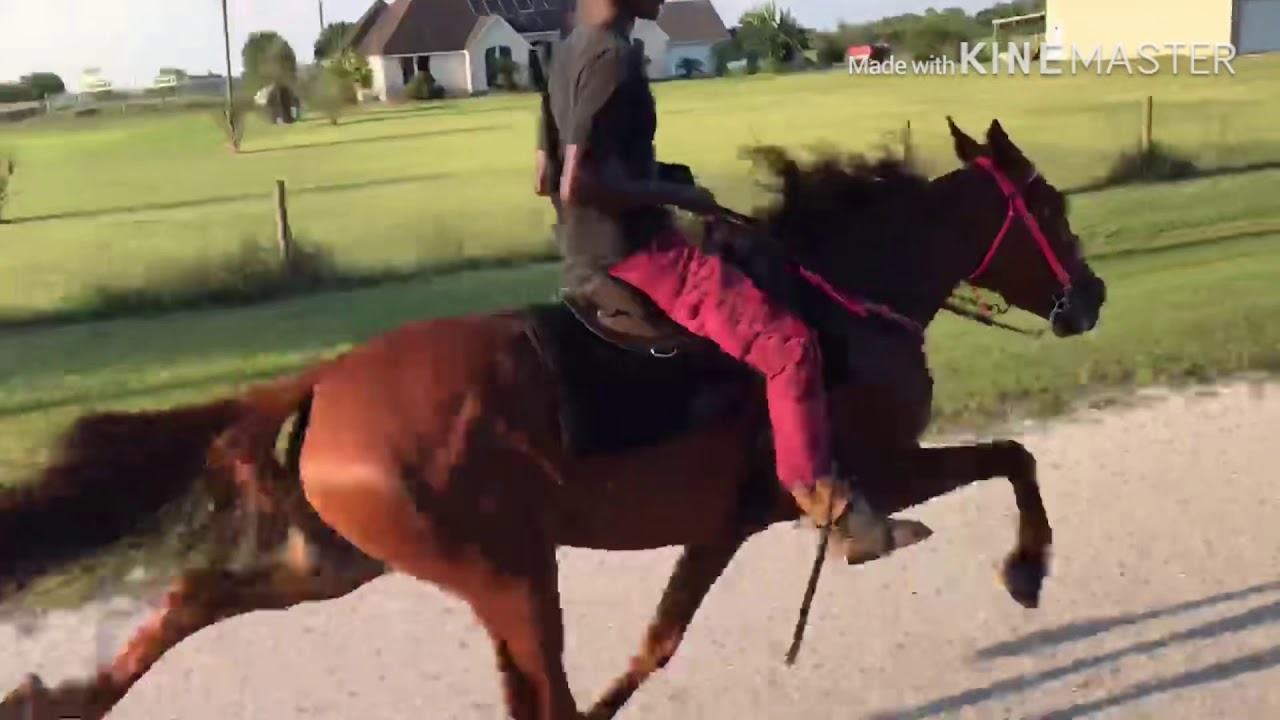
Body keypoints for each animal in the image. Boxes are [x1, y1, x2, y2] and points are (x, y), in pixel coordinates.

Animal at [0, 115, 1106, 720]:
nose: (1089, 297)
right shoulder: (869, 470)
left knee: (198, 591)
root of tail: (324, 382)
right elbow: (1013, 455)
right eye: (1050, 206)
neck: (843, 300)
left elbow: (656, 643)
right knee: (541, 698)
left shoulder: (731, 521)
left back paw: (61, 698)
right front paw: (1027, 567)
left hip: (354, 560)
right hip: (508, 574)